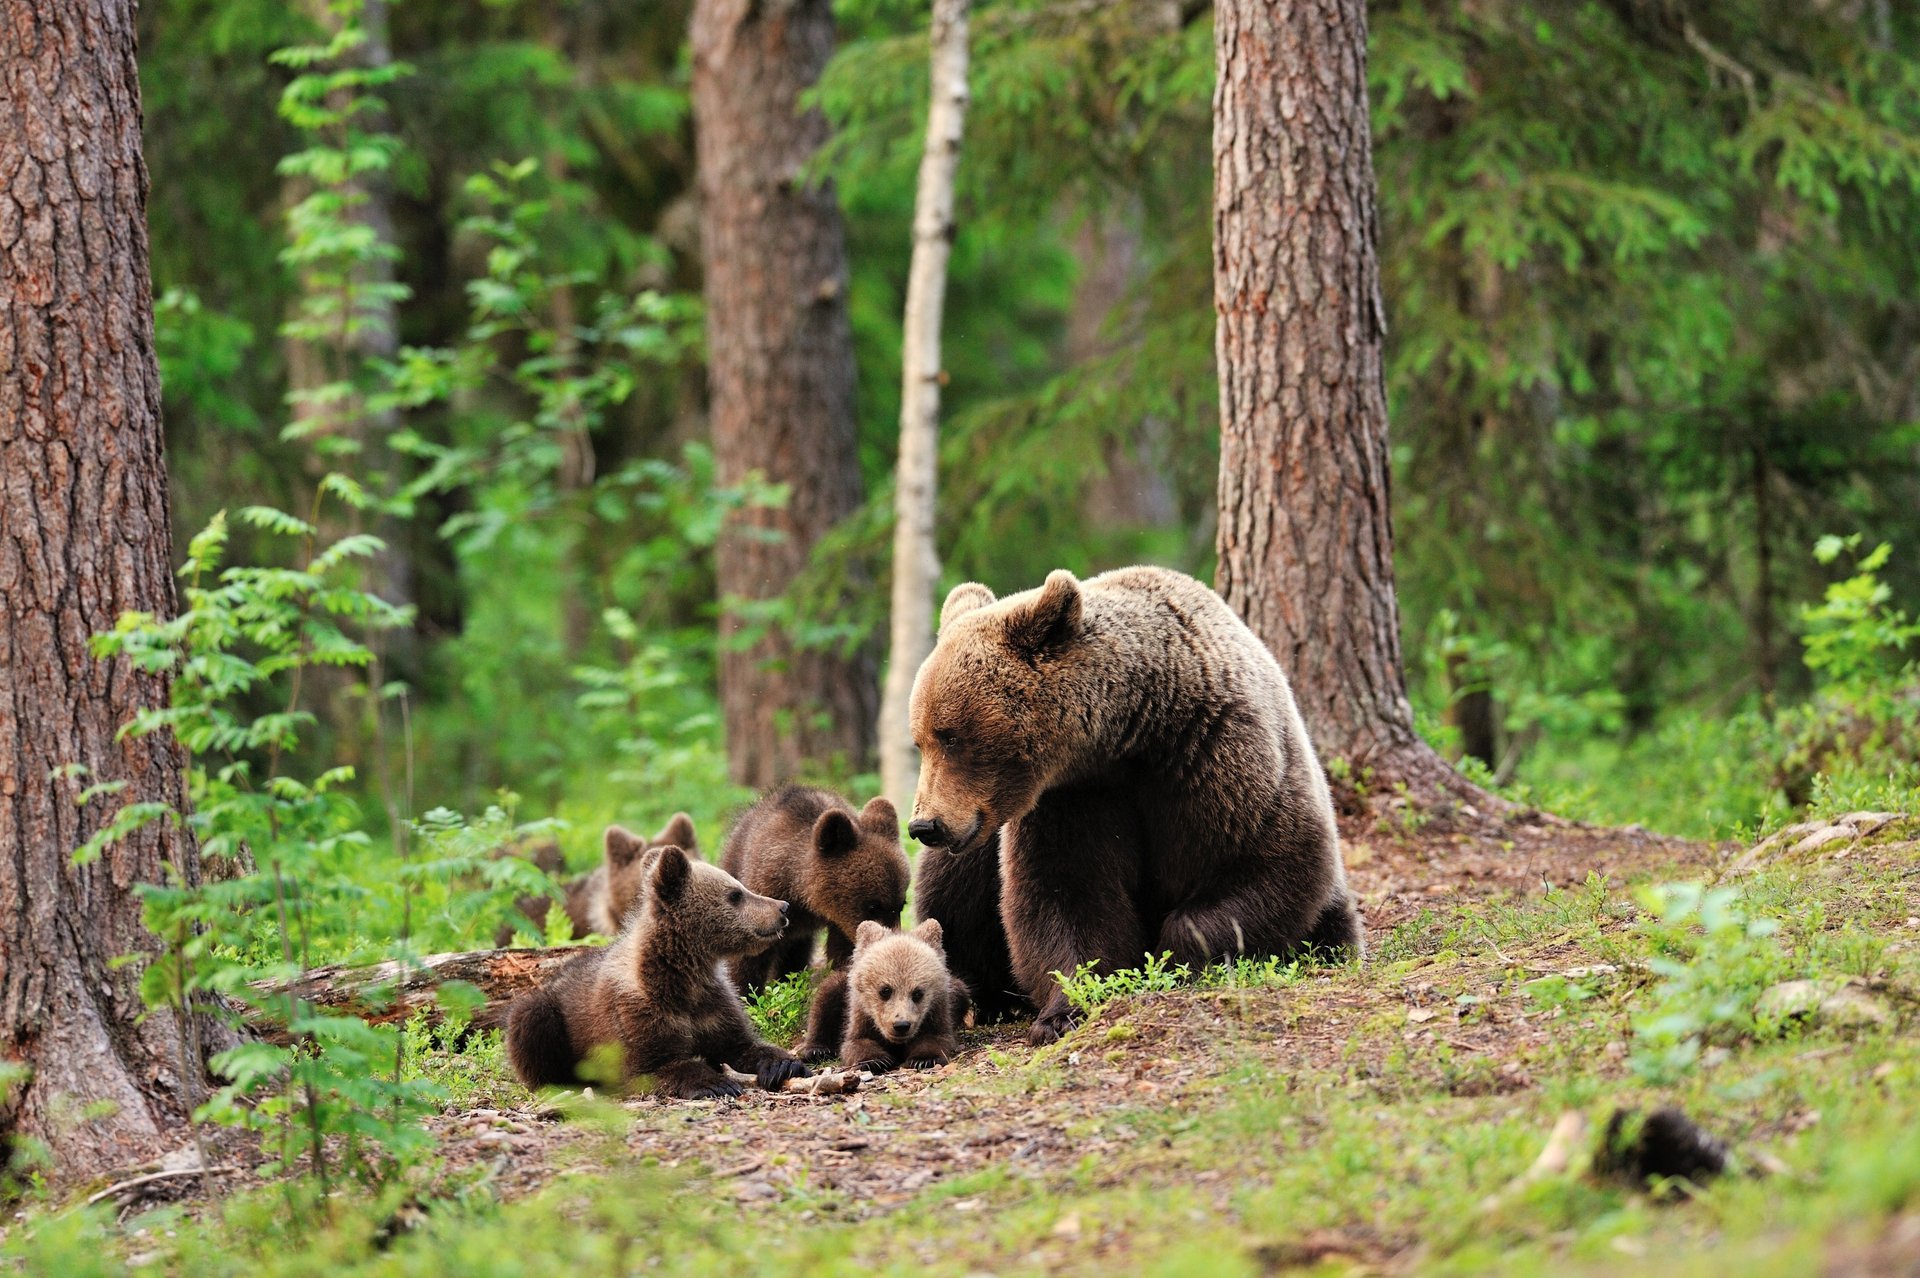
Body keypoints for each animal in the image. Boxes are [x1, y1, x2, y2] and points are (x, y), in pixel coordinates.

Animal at [503, 841, 810, 1099]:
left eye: (741, 887)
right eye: (735, 894)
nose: (782, 907)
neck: (683, 974)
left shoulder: (712, 1005)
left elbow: (742, 1044)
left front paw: (784, 1064)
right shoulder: (635, 1014)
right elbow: (651, 1067)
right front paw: (715, 1082)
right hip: (550, 1013)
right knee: (530, 1021)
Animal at [717, 786, 910, 1060]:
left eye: (901, 903)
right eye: (873, 906)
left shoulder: (840, 923)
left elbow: (842, 953)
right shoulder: (763, 891)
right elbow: (750, 955)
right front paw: (748, 1001)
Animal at [839, 919, 970, 1073]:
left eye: (917, 993)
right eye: (885, 990)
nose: (901, 1025)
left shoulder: (938, 1012)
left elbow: (936, 1038)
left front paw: (923, 1059)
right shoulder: (861, 1017)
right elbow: (856, 1043)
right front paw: (875, 1061)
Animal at [906, 566, 1363, 1047]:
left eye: (951, 736)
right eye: (921, 739)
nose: (925, 826)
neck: (1133, 735)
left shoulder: (1221, 755)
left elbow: (1263, 862)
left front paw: (1174, 959)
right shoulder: (1072, 800)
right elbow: (1066, 893)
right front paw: (1064, 1010)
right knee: (952, 891)